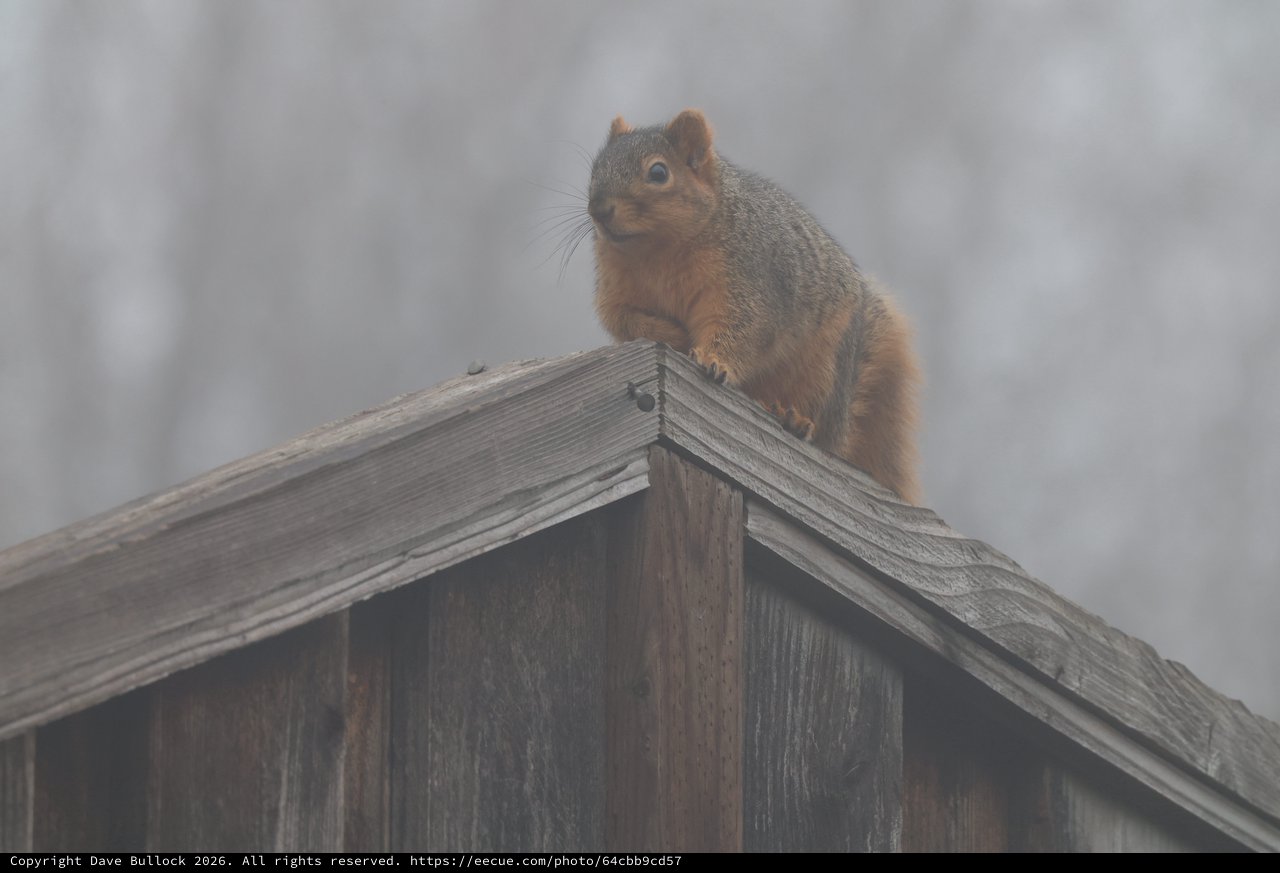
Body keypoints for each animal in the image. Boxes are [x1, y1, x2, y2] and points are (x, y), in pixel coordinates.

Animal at [587, 109, 921, 504]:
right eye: (594, 168)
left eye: (658, 172)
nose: (598, 209)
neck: (654, 252)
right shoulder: (616, 294)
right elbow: (625, 322)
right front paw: (673, 335)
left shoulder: (748, 280)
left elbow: (743, 327)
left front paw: (714, 361)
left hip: (823, 369)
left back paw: (796, 419)